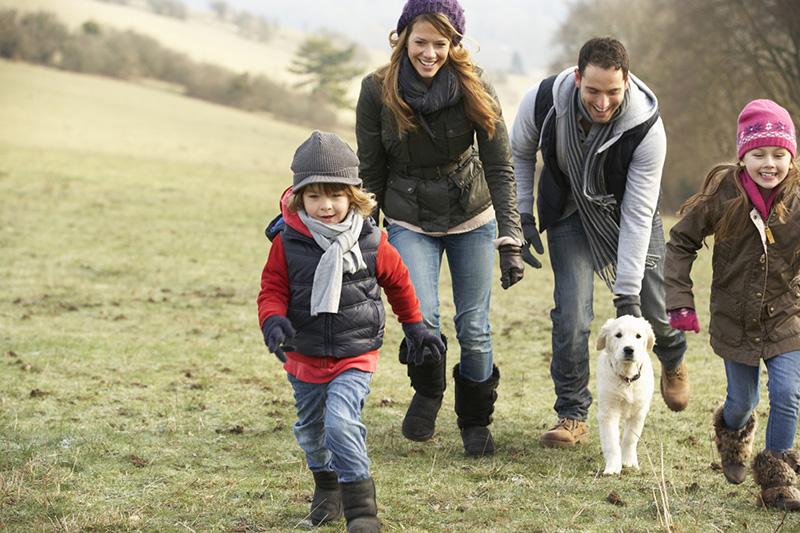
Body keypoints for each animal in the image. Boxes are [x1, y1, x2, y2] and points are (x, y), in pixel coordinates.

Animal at [592, 314, 656, 472]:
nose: (629, 349)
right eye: (618, 335)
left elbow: (629, 438)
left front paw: (628, 461)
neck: (627, 378)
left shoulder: (639, 412)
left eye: (638, 336)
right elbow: (611, 442)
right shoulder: (608, 412)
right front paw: (613, 467)